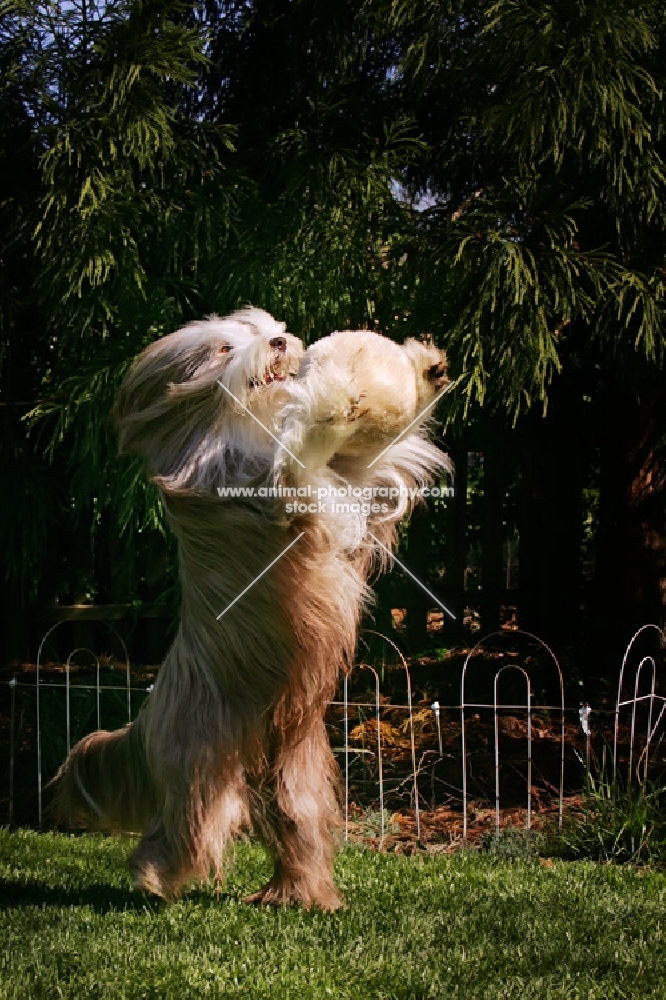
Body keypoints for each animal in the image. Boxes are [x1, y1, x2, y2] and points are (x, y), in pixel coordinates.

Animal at [49, 308, 448, 912]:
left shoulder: (354, 483)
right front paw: (333, 395)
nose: (281, 343)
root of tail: (145, 718)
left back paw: (303, 896)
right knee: (185, 826)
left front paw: (424, 370)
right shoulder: (266, 490)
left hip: (291, 771)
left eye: (268, 328)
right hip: (198, 758)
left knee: (295, 828)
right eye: (222, 348)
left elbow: (374, 462)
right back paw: (155, 876)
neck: (237, 429)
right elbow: (302, 462)